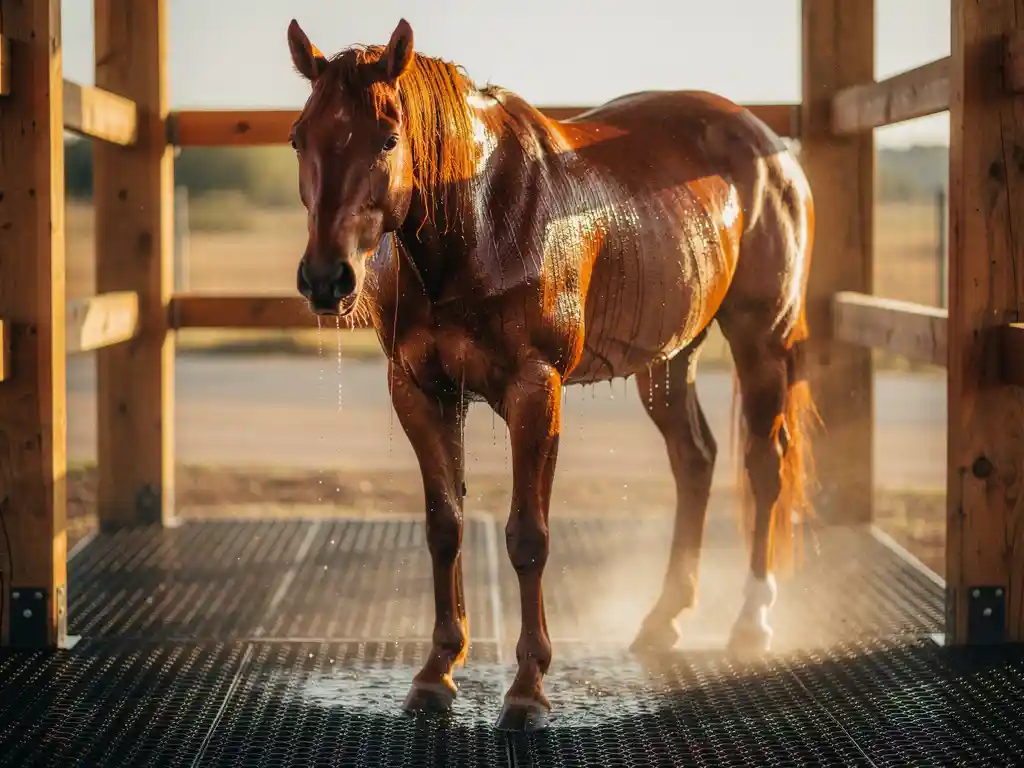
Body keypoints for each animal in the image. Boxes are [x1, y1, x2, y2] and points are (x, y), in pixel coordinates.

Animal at [286, 17, 818, 730]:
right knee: (695, 459)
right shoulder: (421, 392)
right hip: (669, 359)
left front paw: (528, 688)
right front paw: (436, 672)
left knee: (764, 464)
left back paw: (753, 620)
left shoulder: (535, 390)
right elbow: (444, 526)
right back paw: (664, 616)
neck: (479, 220)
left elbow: (528, 536)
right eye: (299, 137)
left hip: (763, 338)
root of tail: (771, 146)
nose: (326, 279)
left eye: (389, 138)